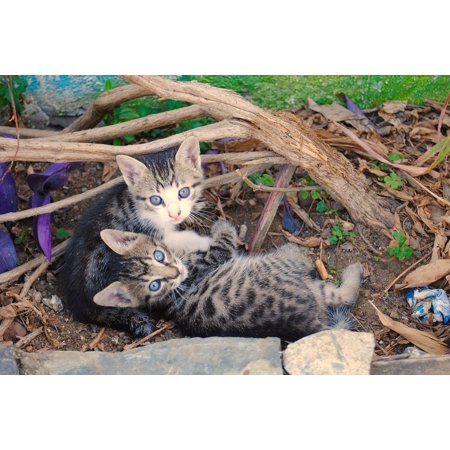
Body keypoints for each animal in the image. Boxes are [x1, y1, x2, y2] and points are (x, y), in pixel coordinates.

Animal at [60, 137, 211, 337]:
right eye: (156, 200)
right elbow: (176, 239)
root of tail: (83, 306)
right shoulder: (151, 232)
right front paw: (203, 240)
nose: (175, 214)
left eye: (183, 192)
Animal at [94, 220, 363, 342]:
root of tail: (306, 325)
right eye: (154, 285)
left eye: (158, 256)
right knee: (321, 277)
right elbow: (223, 241)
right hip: (277, 270)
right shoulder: (212, 258)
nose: (176, 274)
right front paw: (222, 226)